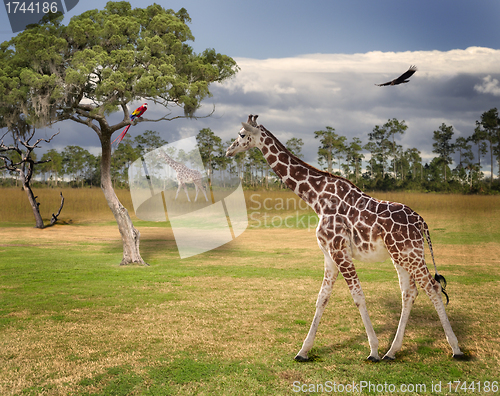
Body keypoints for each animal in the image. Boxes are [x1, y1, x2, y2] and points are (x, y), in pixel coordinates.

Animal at [225, 114, 462, 362]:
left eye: (242, 134)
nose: (228, 151)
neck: (317, 199)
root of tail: (422, 223)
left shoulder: (339, 250)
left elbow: (358, 296)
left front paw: (373, 350)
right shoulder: (329, 255)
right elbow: (322, 298)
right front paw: (303, 351)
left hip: (411, 254)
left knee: (432, 287)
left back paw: (455, 349)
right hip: (400, 255)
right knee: (409, 292)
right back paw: (392, 351)